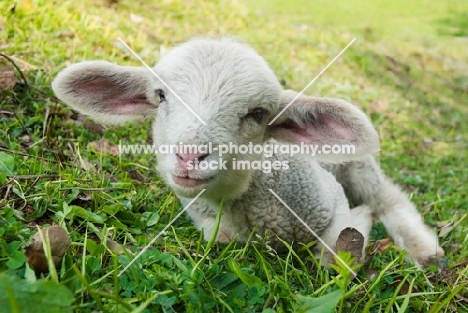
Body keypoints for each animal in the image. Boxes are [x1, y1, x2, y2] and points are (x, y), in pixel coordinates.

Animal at [51, 36, 442, 266]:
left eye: (257, 114)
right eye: (160, 96)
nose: (190, 156)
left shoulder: (332, 203)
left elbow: (339, 249)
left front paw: (360, 227)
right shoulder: (211, 224)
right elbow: (223, 237)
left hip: (358, 166)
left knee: (389, 200)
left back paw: (424, 250)